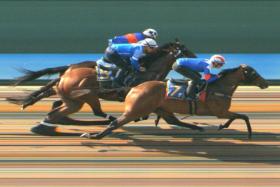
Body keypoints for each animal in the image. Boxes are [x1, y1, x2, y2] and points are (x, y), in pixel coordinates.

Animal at [81, 64, 270, 139]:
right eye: (253, 72)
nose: (265, 83)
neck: (220, 87)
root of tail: (134, 88)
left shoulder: (221, 112)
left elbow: (238, 116)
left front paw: (223, 126)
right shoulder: (219, 111)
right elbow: (242, 116)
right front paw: (247, 134)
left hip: (161, 108)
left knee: (174, 120)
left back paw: (197, 128)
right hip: (135, 110)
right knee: (115, 123)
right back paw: (94, 135)